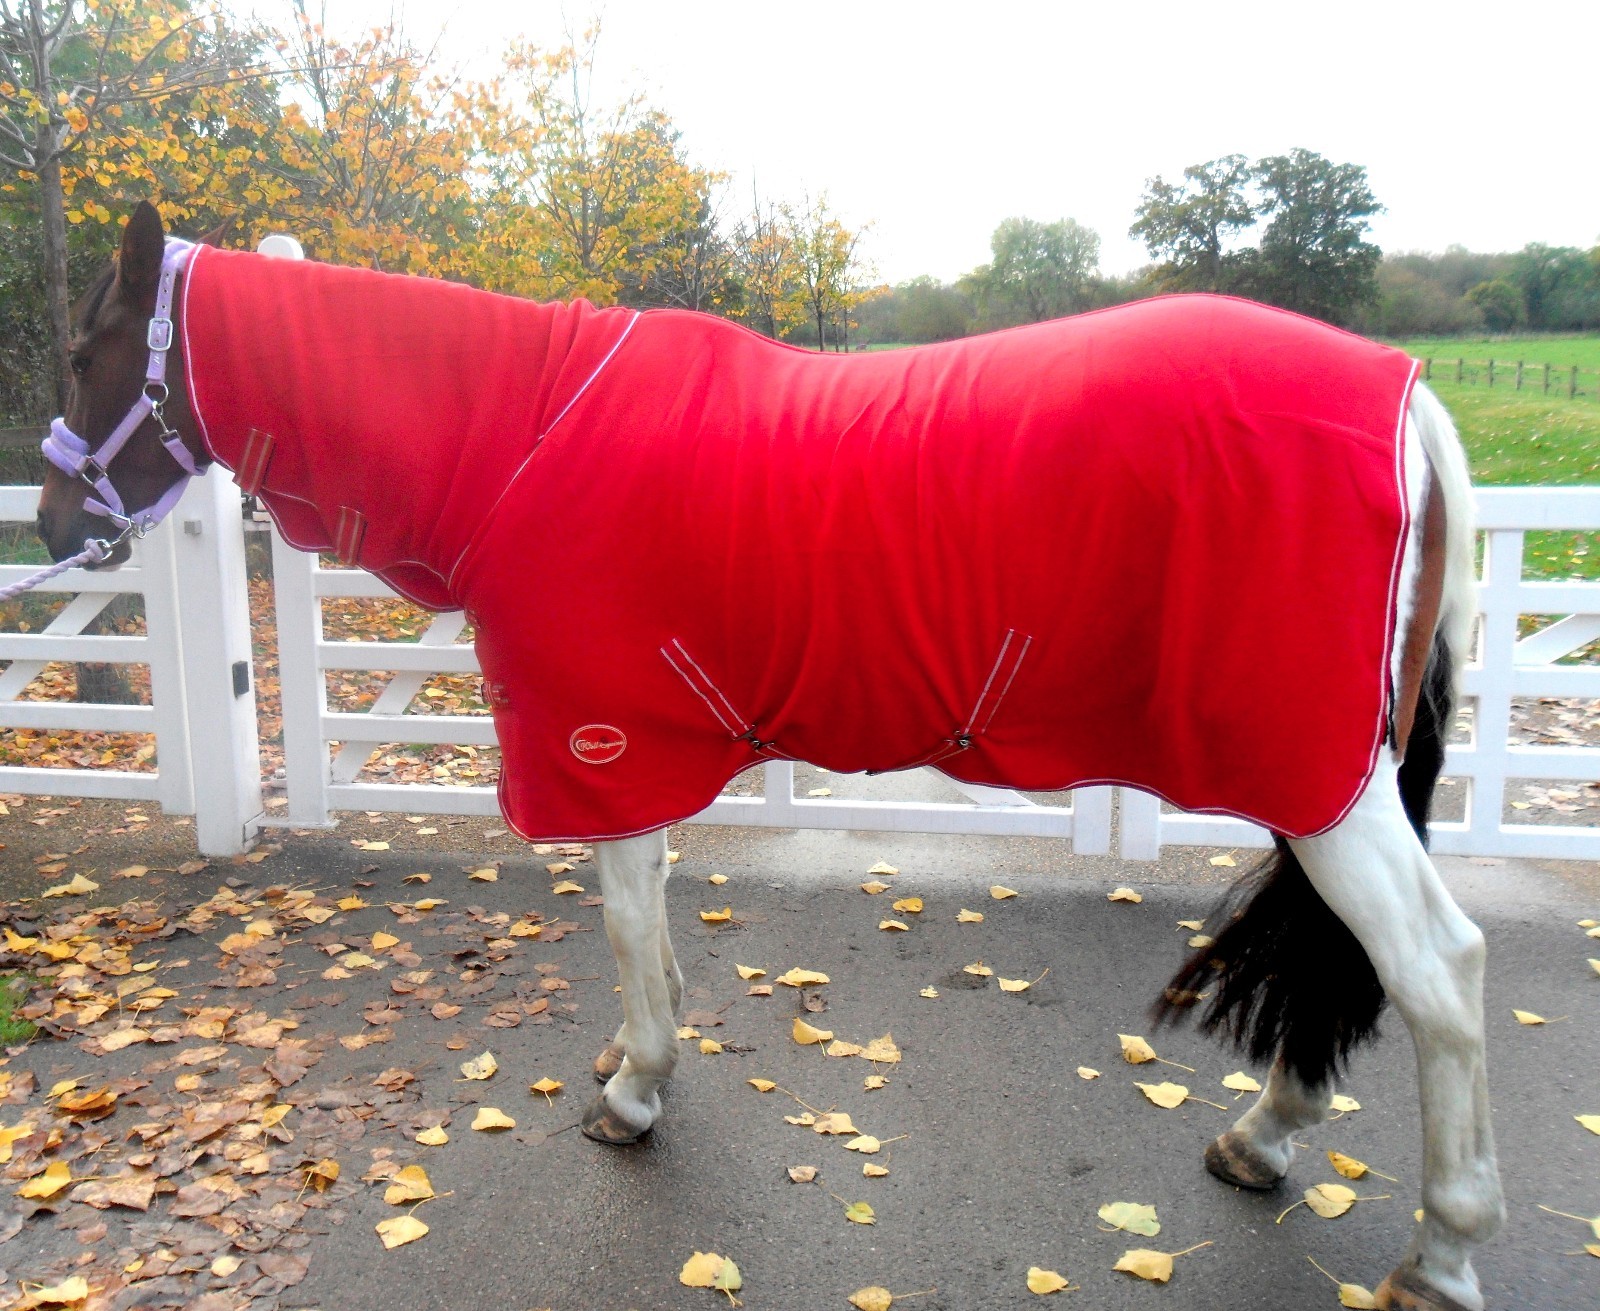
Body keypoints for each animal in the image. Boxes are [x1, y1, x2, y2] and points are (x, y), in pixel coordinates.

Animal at [35, 202, 1503, 1311]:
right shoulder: (644, 751)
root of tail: (1408, 399)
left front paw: (633, 1092)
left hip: (1323, 787)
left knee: (1436, 970)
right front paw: (641, 1062)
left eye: (85, 353)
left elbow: (628, 928)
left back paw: (1440, 1250)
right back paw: (1266, 1134)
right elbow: (657, 927)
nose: (53, 522)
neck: (523, 433)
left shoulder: (605, 745)